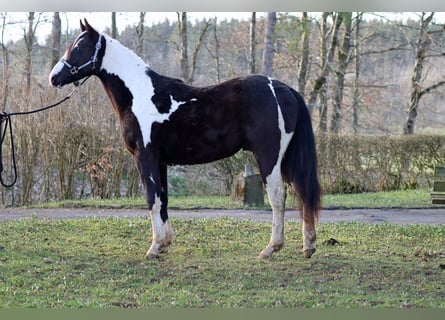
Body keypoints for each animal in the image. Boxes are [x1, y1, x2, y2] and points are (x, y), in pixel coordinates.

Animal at [48, 19, 320, 260]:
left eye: (80, 47)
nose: (54, 77)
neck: (139, 95)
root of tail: (283, 89)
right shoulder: (160, 162)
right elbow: (163, 200)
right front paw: (164, 243)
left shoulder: (145, 157)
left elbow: (152, 199)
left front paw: (154, 247)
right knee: (301, 191)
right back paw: (308, 246)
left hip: (269, 155)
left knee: (278, 196)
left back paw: (271, 248)